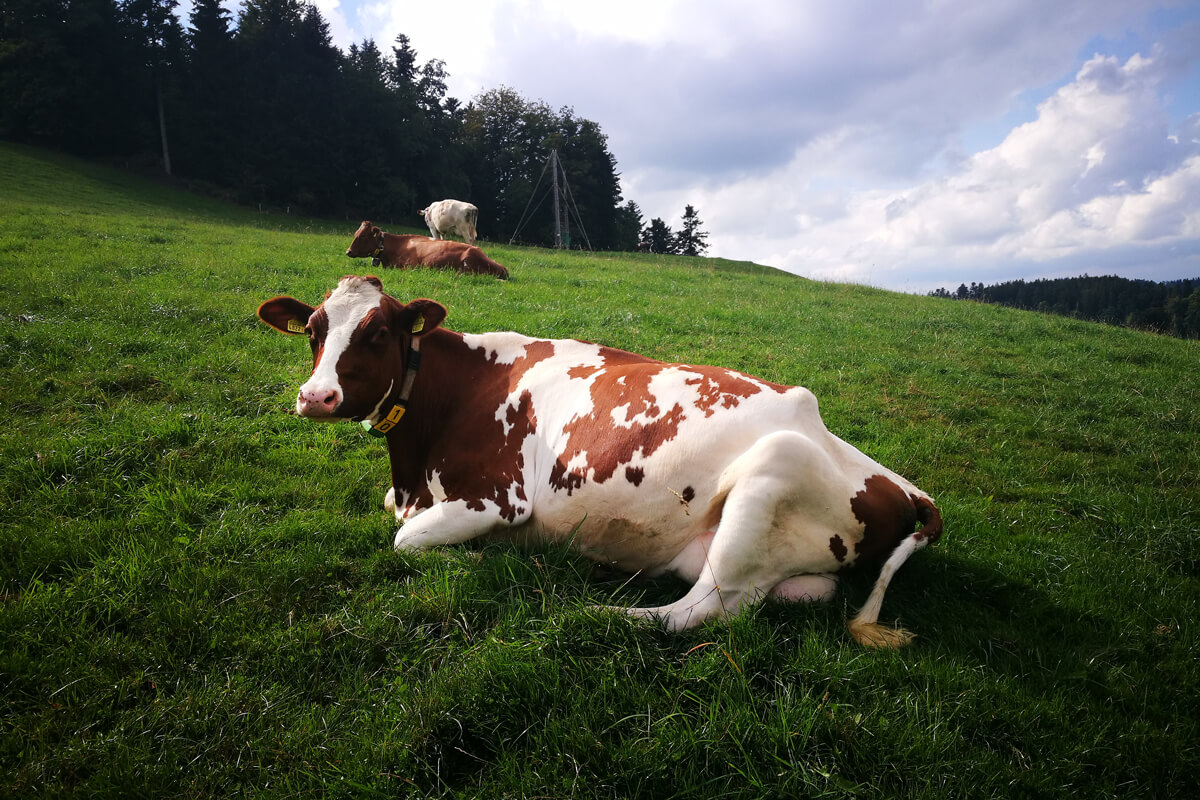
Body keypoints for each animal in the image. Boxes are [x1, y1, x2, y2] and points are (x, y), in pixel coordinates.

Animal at [258, 278, 940, 647]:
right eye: (313, 330)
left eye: (377, 333)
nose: (315, 396)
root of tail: (900, 485)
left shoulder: (497, 498)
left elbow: (403, 542)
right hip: (790, 565)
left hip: (773, 470)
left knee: (697, 613)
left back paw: (594, 609)